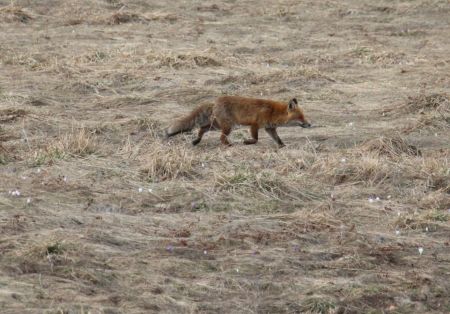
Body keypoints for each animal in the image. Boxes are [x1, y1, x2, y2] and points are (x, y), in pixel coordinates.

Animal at [165, 95, 310, 147]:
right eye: (300, 117)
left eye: (304, 116)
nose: (310, 124)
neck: (274, 112)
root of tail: (215, 101)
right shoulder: (254, 124)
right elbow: (256, 139)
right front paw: (247, 142)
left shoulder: (269, 128)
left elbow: (277, 138)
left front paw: (282, 145)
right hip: (228, 127)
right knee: (221, 138)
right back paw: (228, 144)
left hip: (217, 125)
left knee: (202, 129)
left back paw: (196, 140)